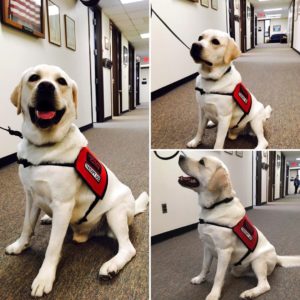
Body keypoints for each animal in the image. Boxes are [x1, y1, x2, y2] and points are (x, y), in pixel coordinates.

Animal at [5, 64, 149, 296]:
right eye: (34, 78)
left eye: (61, 81)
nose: (46, 86)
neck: (44, 148)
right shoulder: (31, 196)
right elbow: (27, 225)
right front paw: (20, 246)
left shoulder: (63, 205)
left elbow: (53, 247)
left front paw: (44, 278)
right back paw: (48, 218)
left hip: (115, 214)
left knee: (128, 248)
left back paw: (111, 266)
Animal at [178, 155, 300, 300]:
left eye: (202, 162)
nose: (180, 156)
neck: (216, 205)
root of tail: (276, 257)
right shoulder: (207, 246)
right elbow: (205, 266)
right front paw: (200, 278)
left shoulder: (224, 251)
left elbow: (218, 276)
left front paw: (214, 294)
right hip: (239, 268)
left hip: (258, 261)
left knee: (265, 284)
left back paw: (250, 293)